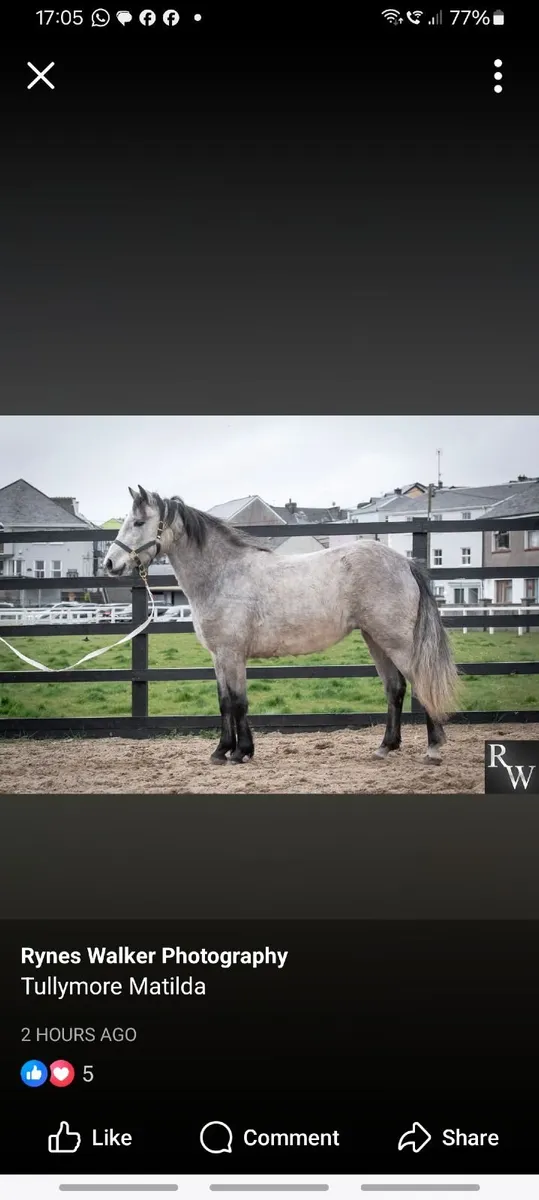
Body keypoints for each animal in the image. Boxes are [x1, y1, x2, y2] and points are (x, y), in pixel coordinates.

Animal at [104, 486, 458, 766]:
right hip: (375, 639)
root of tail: (405, 562)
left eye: (138, 522)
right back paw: (385, 747)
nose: (109, 563)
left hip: (397, 641)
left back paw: (433, 748)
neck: (224, 574)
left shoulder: (232, 654)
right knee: (395, 688)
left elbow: (238, 702)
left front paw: (240, 752)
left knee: (421, 683)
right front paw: (222, 751)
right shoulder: (219, 657)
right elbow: (225, 702)